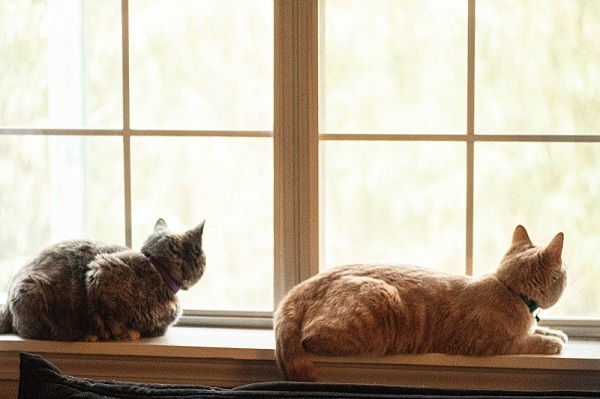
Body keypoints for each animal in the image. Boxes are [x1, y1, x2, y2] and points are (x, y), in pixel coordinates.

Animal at [0, 220, 205, 342]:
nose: (205, 262)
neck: (157, 270)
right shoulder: (100, 271)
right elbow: (112, 318)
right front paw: (126, 334)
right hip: (33, 290)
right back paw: (85, 335)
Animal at [276, 227, 568, 382]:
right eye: (565, 272)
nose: (568, 274)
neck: (509, 288)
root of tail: (305, 285)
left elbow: (537, 330)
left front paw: (554, 332)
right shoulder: (486, 343)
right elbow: (526, 341)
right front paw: (551, 342)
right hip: (378, 301)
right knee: (310, 338)